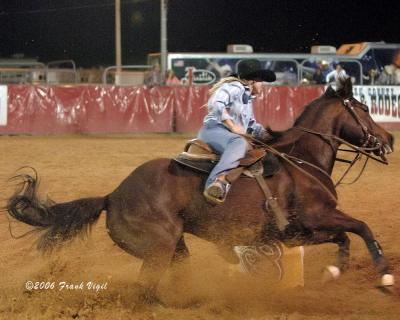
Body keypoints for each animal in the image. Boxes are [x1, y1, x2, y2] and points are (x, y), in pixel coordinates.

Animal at [6, 79, 394, 304]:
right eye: (364, 108)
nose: (389, 139)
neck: (302, 160)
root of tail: (112, 196)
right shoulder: (318, 216)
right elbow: (362, 228)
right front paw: (385, 276)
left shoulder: (300, 232)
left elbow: (344, 239)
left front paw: (334, 273)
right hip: (159, 248)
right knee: (144, 290)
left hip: (175, 248)